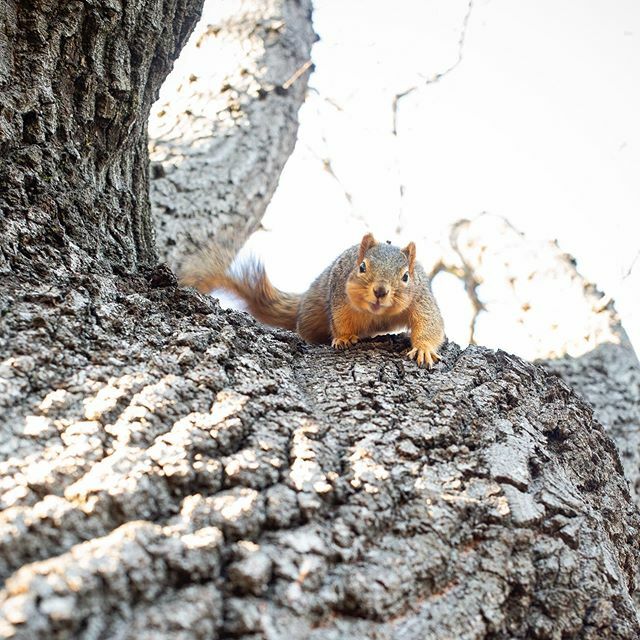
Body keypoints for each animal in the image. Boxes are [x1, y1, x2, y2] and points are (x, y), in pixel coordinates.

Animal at [180, 233, 445, 367]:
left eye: (405, 276)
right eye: (361, 267)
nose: (380, 291)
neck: (377, 314)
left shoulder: (421, 300)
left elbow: (430, 324)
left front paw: (423, 349)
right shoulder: (340, 298)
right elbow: (340, 320)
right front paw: (344, 338)